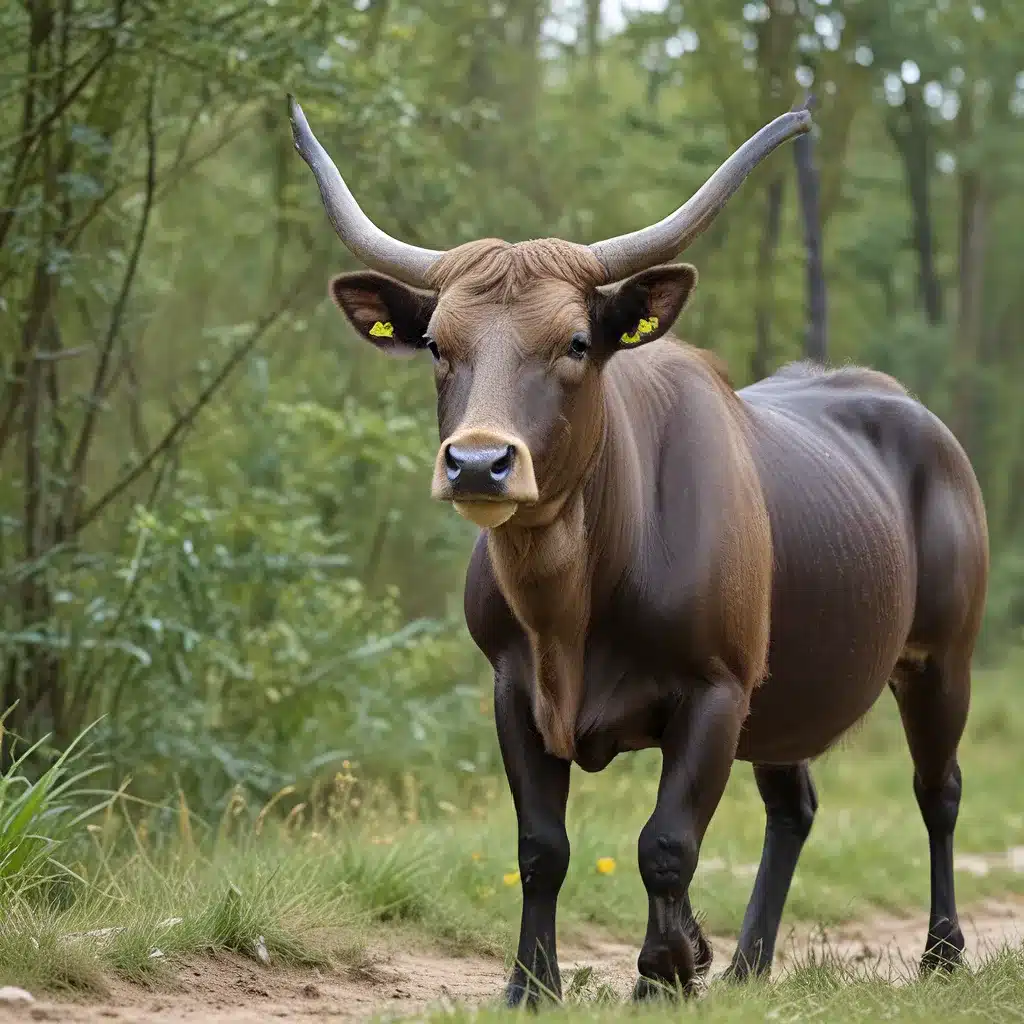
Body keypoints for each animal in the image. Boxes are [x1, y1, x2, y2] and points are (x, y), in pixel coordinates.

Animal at [288, 94, 991, 999]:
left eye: (576, 342)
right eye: (440, 344)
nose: (478, 462)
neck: (571, 611)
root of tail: (915, 417)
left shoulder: (715, 691)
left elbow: (665, 844)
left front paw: (664, 969)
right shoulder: (513, 692)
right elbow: (541, 847)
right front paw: (535, 983)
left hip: (941, 660)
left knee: (938, 791)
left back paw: (941, 952)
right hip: (786, 689)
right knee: (793, 808)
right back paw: (749, 964)